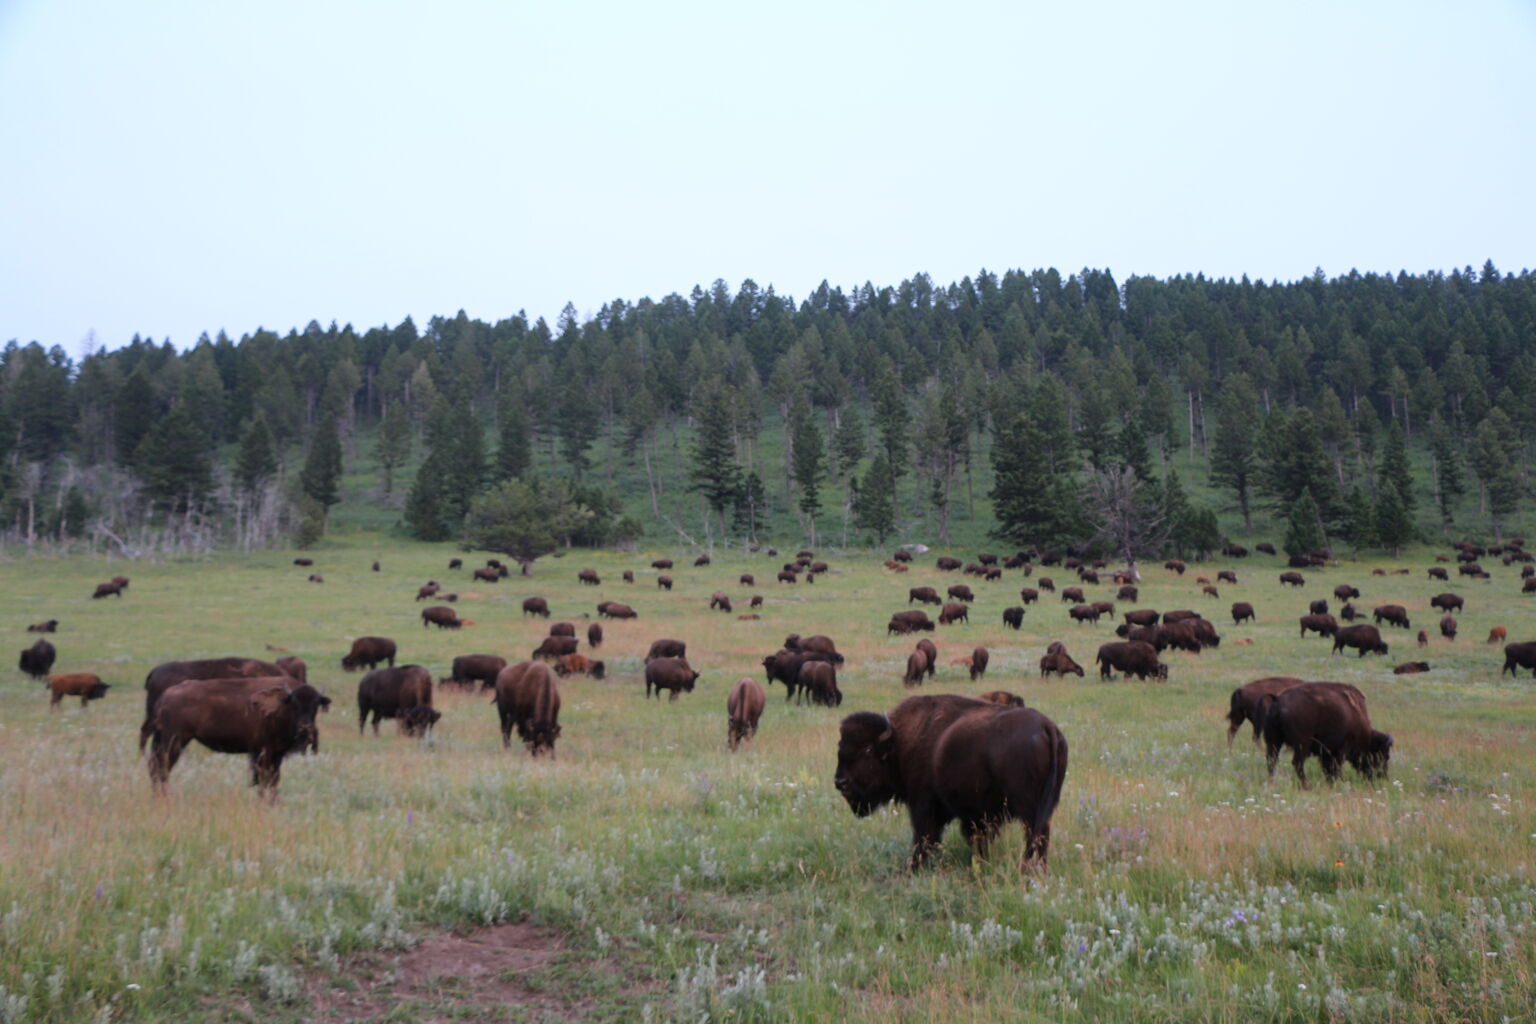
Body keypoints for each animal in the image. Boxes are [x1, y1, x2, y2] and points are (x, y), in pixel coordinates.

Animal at [145, 681, 330, 798]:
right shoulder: (262, 752)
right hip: (174, 741)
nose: (305, 727)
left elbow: (274, 779)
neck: (278, 708)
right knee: (161, 767)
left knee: (156, 766)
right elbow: (262, 779)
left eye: (316, 704)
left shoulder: (277, 754)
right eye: (294, 704)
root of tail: (165, 695)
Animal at [829, 693, 1069, 872]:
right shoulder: (976, 816)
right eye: (840, 746)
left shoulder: (923, 805)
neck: (899, 743)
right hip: (1045, 807)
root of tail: (1047, 727)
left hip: (1028, 809)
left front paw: (914, 867)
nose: (840, 782)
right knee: (1041, 838)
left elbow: (924, 837)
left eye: (868, 750)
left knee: (1034, 838)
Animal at [1259, 684, 1394, 792]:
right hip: (1302, 745)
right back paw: (1307, 786)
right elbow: (1335, 768)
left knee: (1272, 761)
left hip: (1273, 742)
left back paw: (1272, 783)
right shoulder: (1340, 750)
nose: (1382, 777)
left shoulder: (1326, 752)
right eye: (1384, 756)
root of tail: (1277, 700)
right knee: (1297, 763)